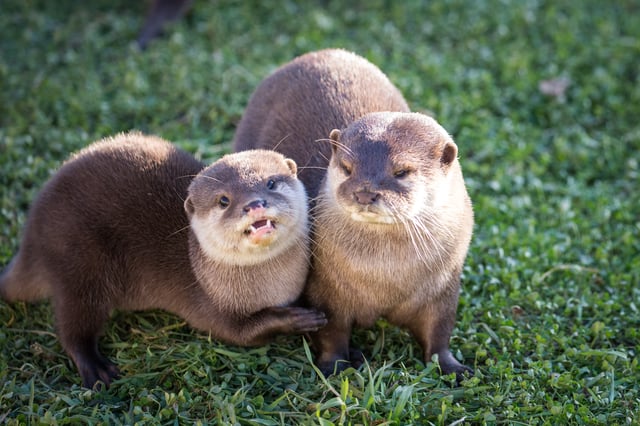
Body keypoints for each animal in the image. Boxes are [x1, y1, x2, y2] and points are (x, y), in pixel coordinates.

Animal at [0, 132, 326, 388]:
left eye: (271, 183)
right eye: (224, 200)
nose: (255, 204)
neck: (270, 290)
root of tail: (31, 234)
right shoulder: (212, 308)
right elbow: (243, 334)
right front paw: (298, 318)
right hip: (77, 259)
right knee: (73, 322)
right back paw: (96, 368)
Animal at [232, 49, 473, 380]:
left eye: (402, 171)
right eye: (347, 168)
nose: (365, 193)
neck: (385, 277)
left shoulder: (444, 287)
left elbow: (439, 332)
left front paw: (452, 367)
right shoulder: (325, 289)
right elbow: (331, 330)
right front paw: (334, 365)